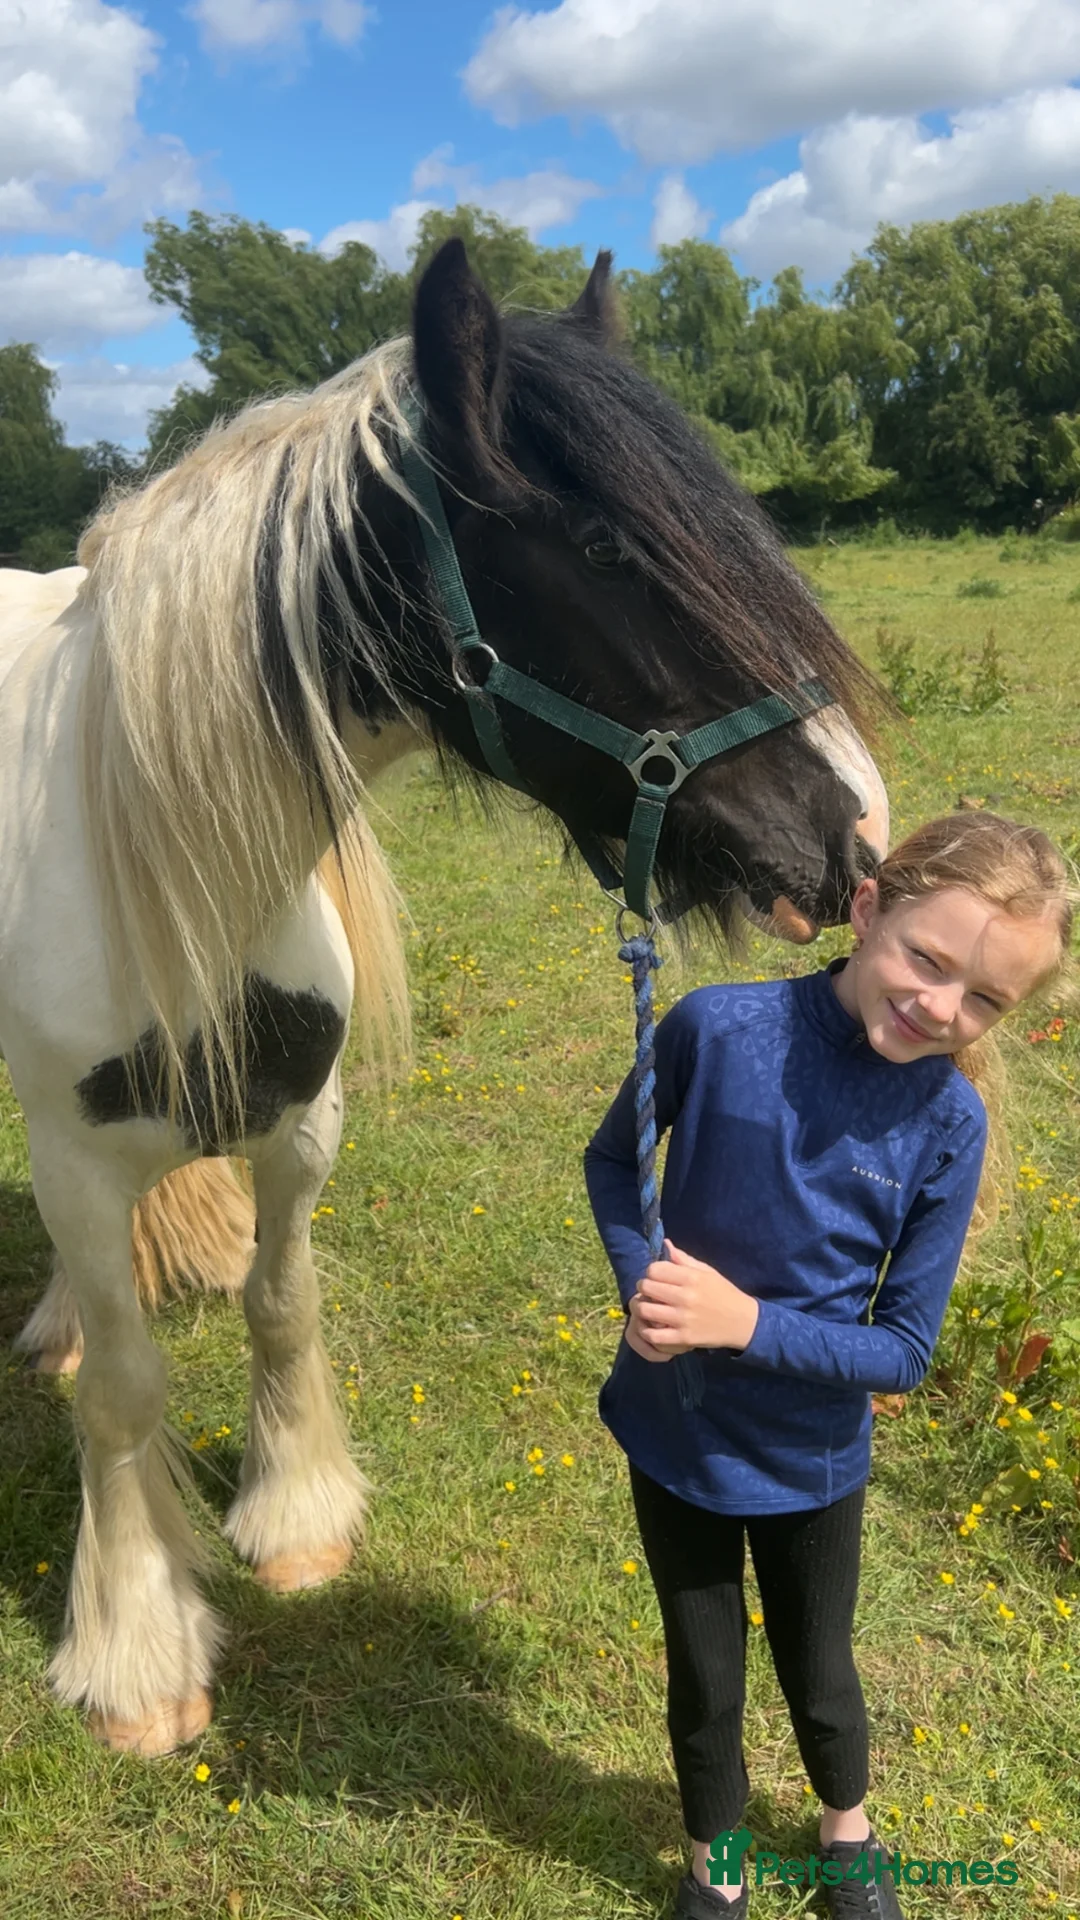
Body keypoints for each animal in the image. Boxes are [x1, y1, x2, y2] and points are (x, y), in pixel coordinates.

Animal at [0, 238, 888, 1757]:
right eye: (607, 551)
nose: (857, 831)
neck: (166, 867)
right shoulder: (75, 1153)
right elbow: (124, 1389)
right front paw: (136, 1651)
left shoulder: (303, 1122)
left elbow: (279, 1301)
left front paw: (297, 1518)